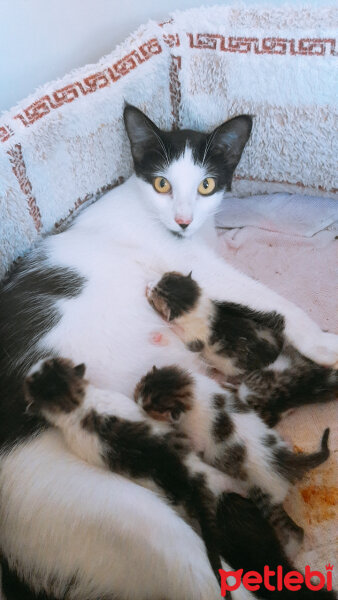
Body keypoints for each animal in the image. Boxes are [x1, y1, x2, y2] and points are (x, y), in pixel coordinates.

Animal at [135, 364, 330, 556]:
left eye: (149, 406)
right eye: (141, 385)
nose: (136, 399)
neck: (192, 392)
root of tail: (284, 460)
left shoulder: (195, 437)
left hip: (264, 495)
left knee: (295, 530)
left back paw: (289, 551)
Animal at [147, 272, 336, 426]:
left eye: (156, 291)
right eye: (163, 278)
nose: (148, 285)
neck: (198, 309)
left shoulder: (194, 340)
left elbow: (182, 334)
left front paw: (165, 324)